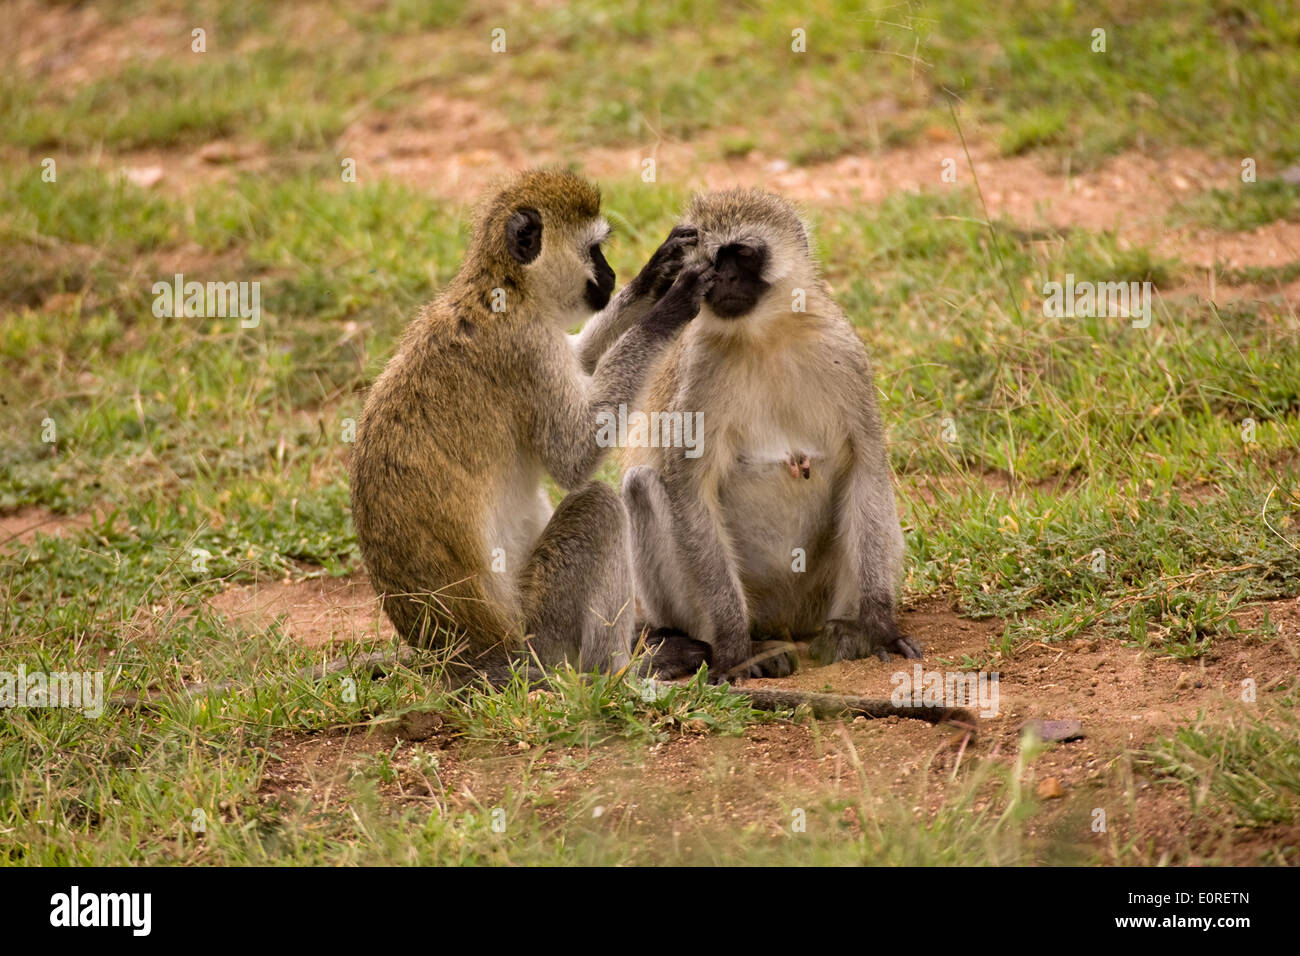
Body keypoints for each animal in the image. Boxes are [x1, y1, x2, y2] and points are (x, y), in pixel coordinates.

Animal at [348, 168, 713, 689]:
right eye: (594, 249)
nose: (611, 276)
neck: (506, 288)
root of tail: (466, 660)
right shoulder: (526, 346)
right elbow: (574, 455)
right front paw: (673, 306)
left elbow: (579, 359)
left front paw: (655, 275)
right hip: (543, 634)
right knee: (599, 508)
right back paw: (620, 673)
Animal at [605, 188, 924, 684]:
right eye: (708, 258)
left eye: (741, 254)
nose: (723, 277)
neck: (764, 336)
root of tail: (785, 623)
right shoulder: (698, 370)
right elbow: (688, 489)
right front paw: (736, 650)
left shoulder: (844, 353)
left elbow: (866, 465)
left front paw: (878, 626)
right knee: (642, 485)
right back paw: (702, 644)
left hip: (817, 599)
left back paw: (846, 632)